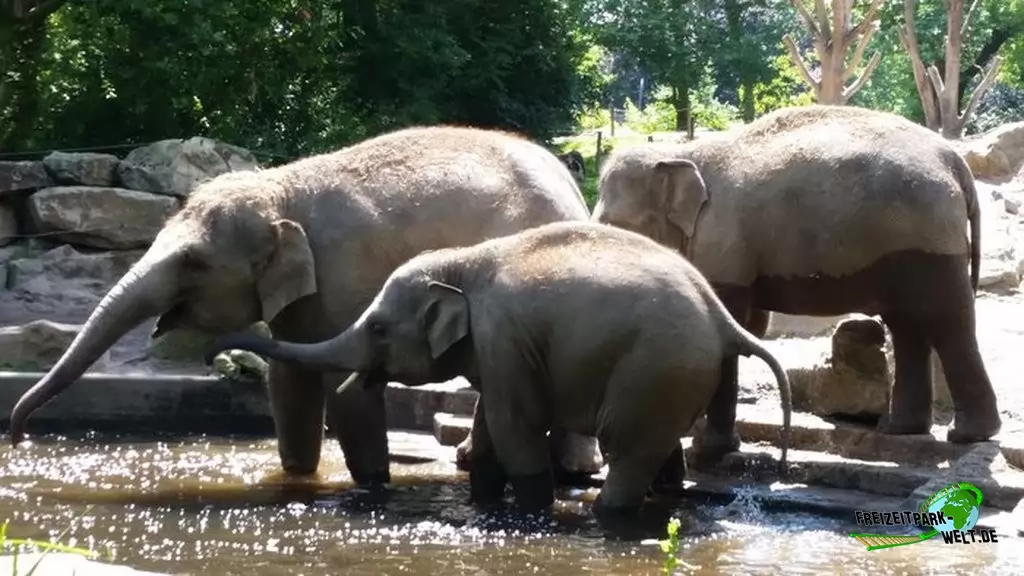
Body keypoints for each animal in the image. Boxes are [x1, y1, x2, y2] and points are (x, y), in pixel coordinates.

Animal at [7, 125, 605, 486]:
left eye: (194, 264)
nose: (15, 438)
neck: (281, 185)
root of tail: (571, 183)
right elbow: (288, 380)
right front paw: (296, 478)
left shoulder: (344, 276)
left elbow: (345, 384)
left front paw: (372, 485)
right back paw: (482, 464)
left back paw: (569, 470)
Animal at [202, 221, 793, 514]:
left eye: (378, 329)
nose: (214, 355)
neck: (461, 260)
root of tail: (722, 318)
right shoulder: (498, 352)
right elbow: (491, 424)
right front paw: (484, 501)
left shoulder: (503, 337)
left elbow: (516, 429)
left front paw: (529, 512)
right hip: (674, 373)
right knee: (664, 454)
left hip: (656, 366)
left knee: (628, 450)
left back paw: (605, 516)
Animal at [592, 104, 1001, 465]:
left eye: (614, 224)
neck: (682, 152)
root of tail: (954, 160)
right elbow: (751, 326)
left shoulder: (723, 238)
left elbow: (730, 321)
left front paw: (709, 451)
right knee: (907, 325)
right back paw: (899, 429)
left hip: (928, 241)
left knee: (946, 320)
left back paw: (967, 435)